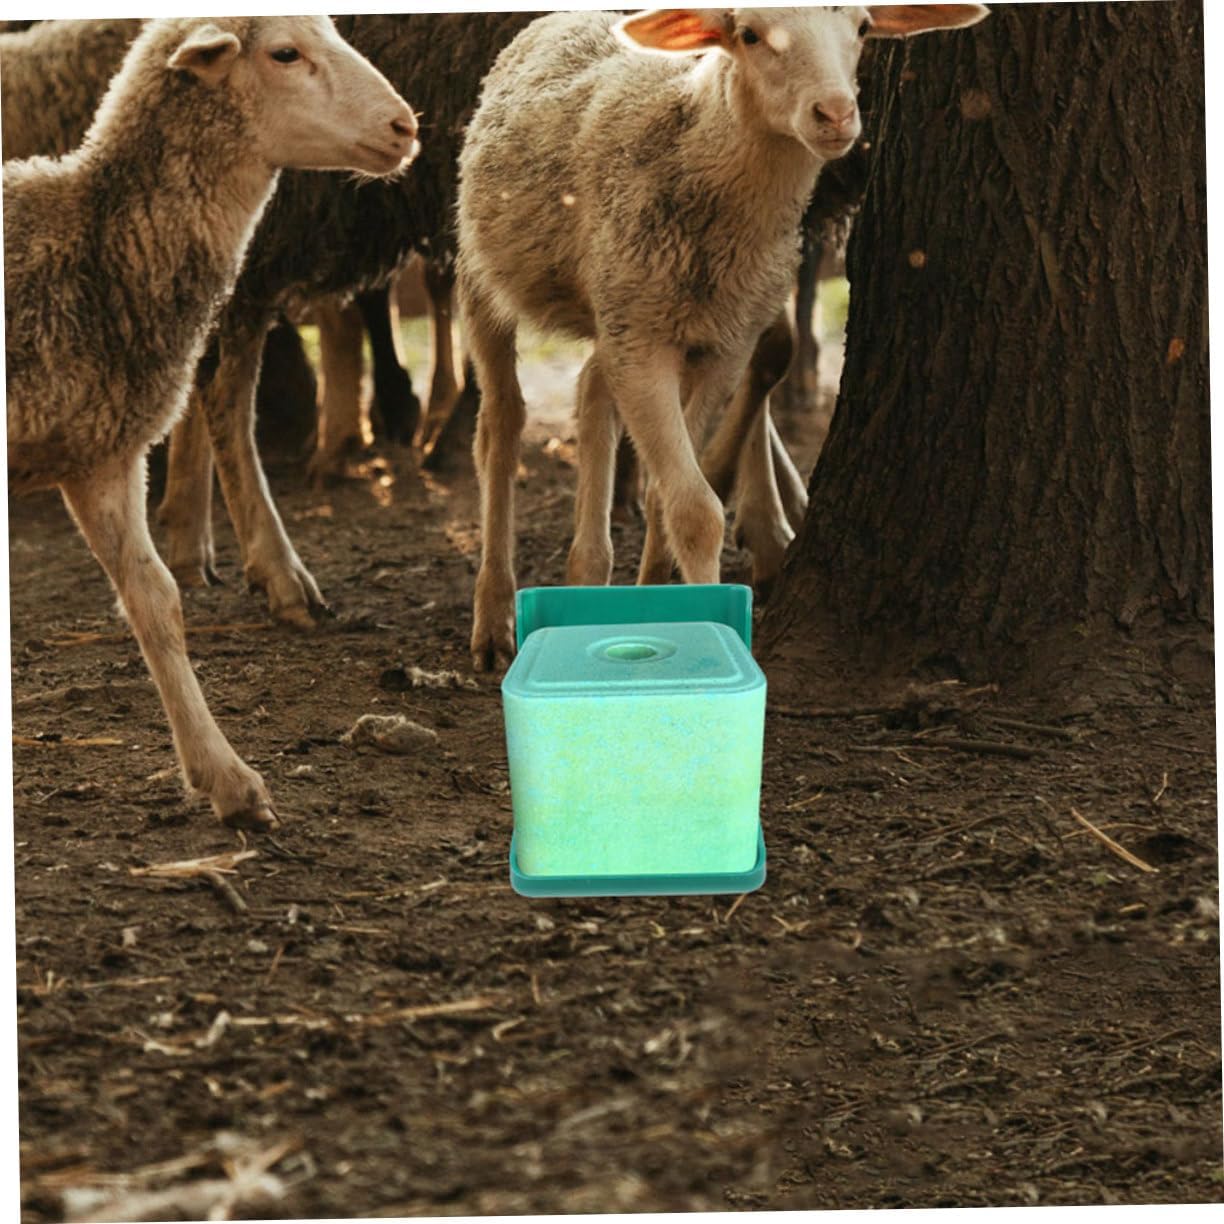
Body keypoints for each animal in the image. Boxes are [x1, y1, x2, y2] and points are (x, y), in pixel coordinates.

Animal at [4, 15, 418, 828]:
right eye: (284, 53)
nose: (405, 126)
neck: (92, 243)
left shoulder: (104, 455)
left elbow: (157, 599)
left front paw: (227, 778)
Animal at [457, 5, 989, 669]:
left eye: (865, 29)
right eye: (750, 35)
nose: (836, 114)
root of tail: (558, 18)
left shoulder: (721, 346)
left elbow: (669, 497)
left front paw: (660, 597)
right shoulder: (644, 344)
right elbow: (694, 511)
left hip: (617, 303)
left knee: (591, 387)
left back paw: (588, 567)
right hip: (482, 267)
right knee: (500, 427)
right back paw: (493, 618)